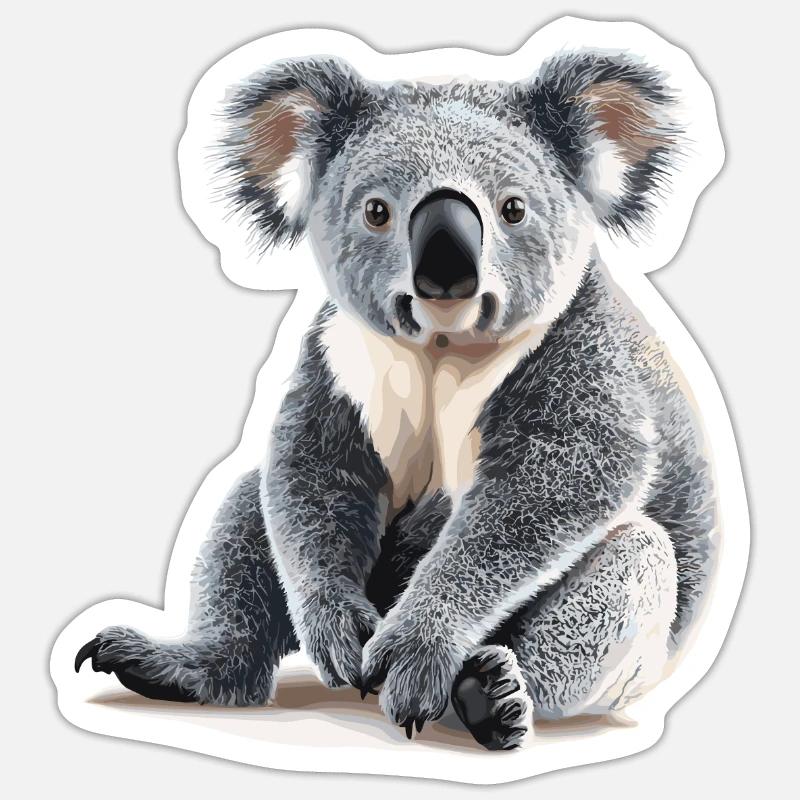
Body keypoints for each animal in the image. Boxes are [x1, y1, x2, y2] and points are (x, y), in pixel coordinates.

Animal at [74, 45, 716, 752]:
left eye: (513, 209)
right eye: (376, 210)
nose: (446, 268)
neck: (441, 348)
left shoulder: (582, 348)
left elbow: (564, 479)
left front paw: (417, 650)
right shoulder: (339, 355)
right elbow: (310, 473)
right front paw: (337, 631)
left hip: (630, 645)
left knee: (629, 565)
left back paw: (490, 696)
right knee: (248, 509)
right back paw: (178, 666)